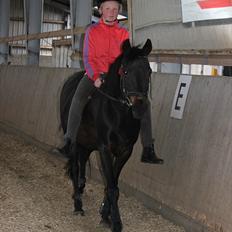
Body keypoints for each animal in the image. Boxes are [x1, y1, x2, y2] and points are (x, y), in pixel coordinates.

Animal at [59, 39, 153, 231]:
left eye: (149, 71)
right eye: (125, 71)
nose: (139, 107)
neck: (118, 113)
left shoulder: (125, 151)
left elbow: (113, 185)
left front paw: (105, 214)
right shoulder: (105, 150)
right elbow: (111, 187)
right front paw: (116, 222)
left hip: (86, 144)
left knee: (81, 166)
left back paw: (80, 190)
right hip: (73, 141)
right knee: (75, 168)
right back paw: (78, 205)